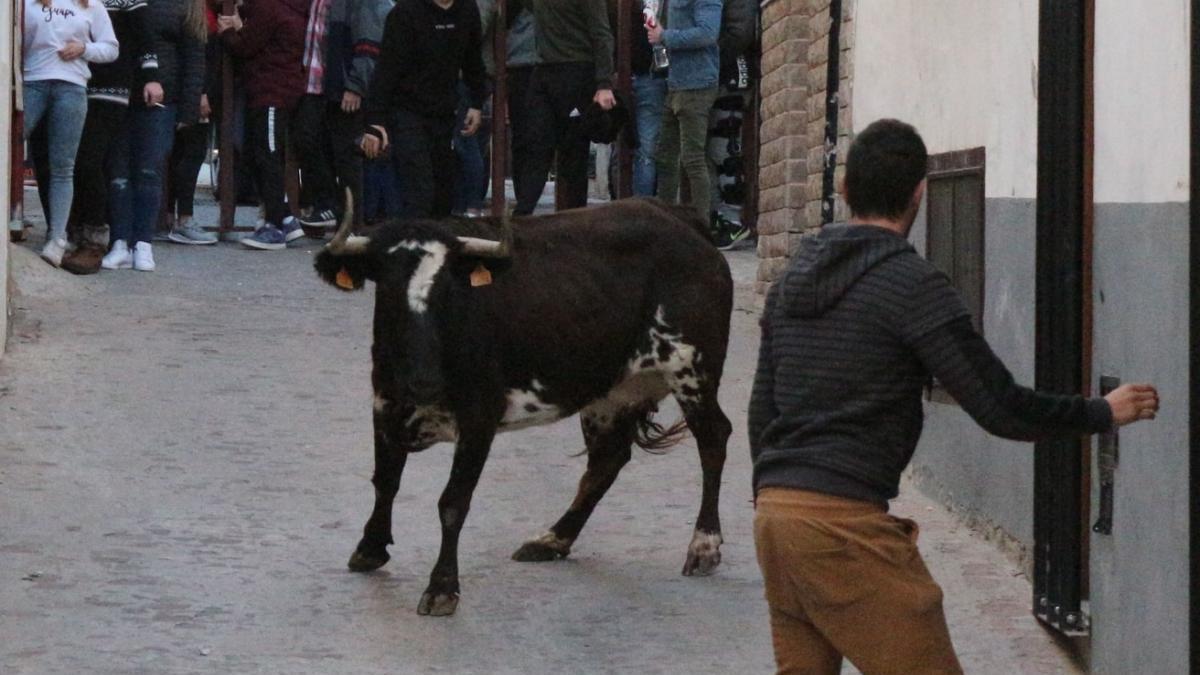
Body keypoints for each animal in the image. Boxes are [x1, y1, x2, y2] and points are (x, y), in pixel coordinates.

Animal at [314, 195, 734, 614]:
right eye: (387, 287)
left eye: (447, 290)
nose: (423, 381)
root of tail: (678, 217)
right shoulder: (385, 404)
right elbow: (385, 481)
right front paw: (370, 547)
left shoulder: (479, 418)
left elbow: (453, 502)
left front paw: (442, 586)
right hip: (610, 392)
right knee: (607, 461)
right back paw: (553, 539)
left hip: (691, 369)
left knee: (713, 438)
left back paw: (704, 546)